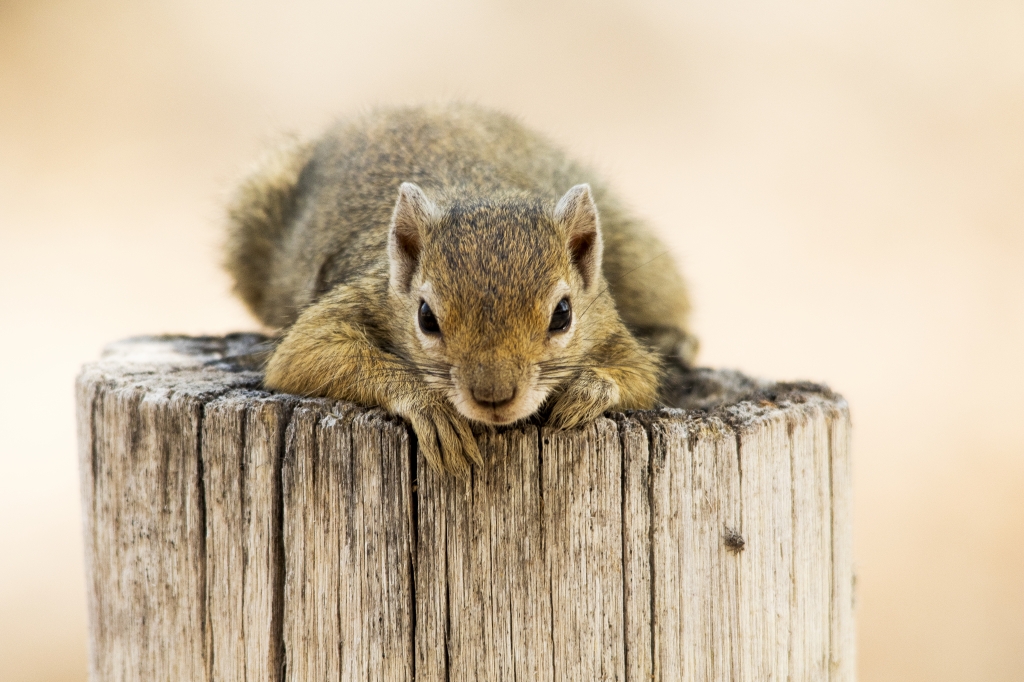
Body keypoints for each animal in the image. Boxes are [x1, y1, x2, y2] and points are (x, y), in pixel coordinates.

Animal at [225, 103, 696, 477]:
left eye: (563, 314)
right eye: (426, 318)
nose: (493, 397)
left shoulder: (607, 325)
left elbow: (638, 373)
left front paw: (585, 392)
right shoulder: (356, 298)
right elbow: (305, 353)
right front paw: (429, 409)